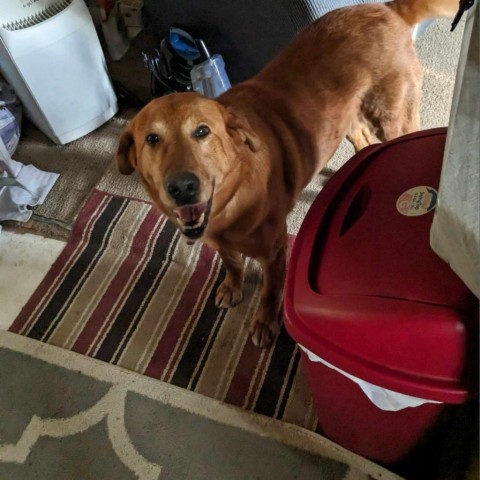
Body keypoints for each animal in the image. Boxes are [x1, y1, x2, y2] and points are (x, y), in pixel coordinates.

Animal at [115, 0, 458, 344]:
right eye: (152, 139)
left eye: (202, 131)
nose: (182, 187)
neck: (228, 202)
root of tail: (387, 9)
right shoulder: (221, 243)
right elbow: (232, 262)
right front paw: (233, 286)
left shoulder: (274, 251)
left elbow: (270, 290)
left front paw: (265, 323)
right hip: (346, 118)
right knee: (362, 139)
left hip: (392, 119)